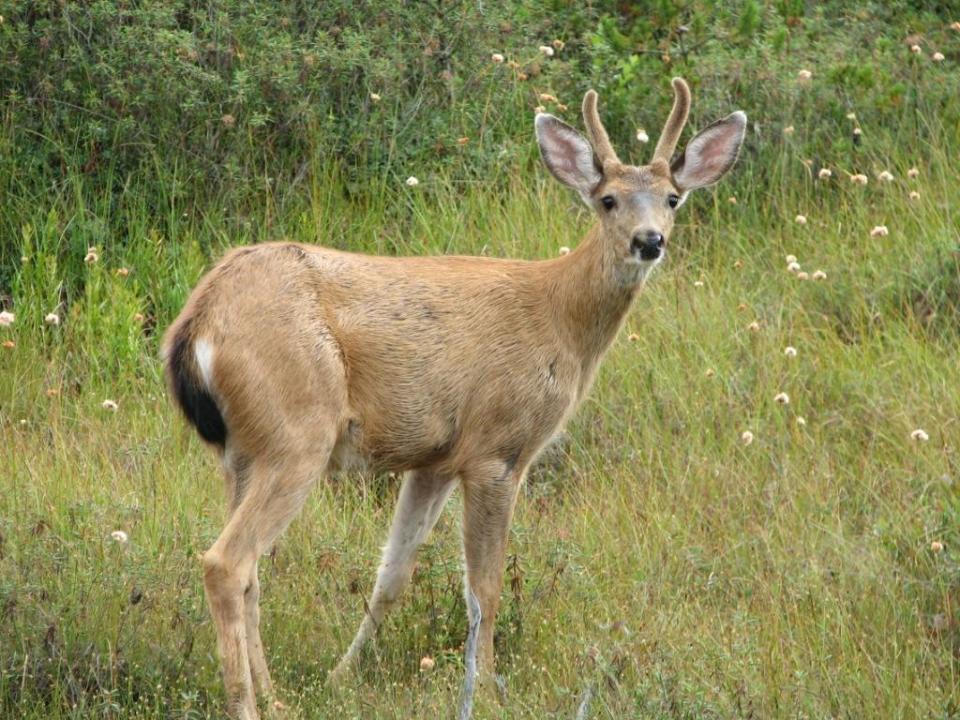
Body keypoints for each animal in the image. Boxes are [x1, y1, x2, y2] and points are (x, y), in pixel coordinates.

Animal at [163, 79, 752, 720]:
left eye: (672, 198)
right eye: (609, 200)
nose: (649, 241)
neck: (559, 316)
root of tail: (198, 322)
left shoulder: (435, 459)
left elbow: (392, 575)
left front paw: (342, 676)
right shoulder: (498, 449)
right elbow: (484, 589)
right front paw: (488, 687)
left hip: (242, 450)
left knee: (252, 572)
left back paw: (276, 696)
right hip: (298, 433)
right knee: (227, 562)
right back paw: (248, 703)